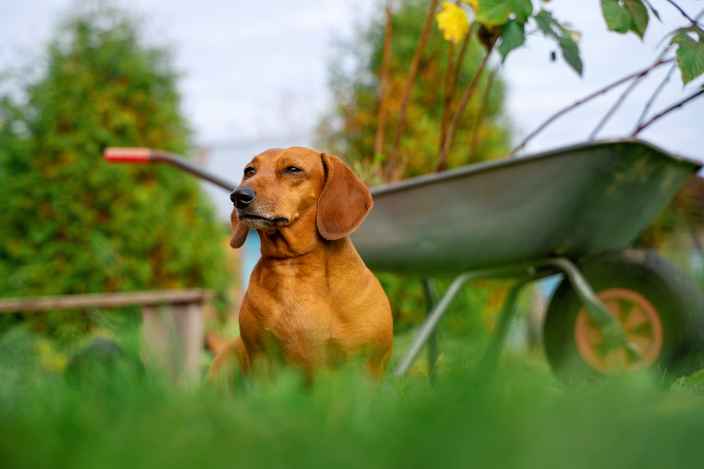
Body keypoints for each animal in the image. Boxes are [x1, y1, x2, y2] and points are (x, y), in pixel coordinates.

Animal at [212, 148, 394, 382]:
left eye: (293, 169)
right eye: (249, 171)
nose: (238, 196)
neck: (295, 266)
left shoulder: (366, 366)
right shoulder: (262, 360)